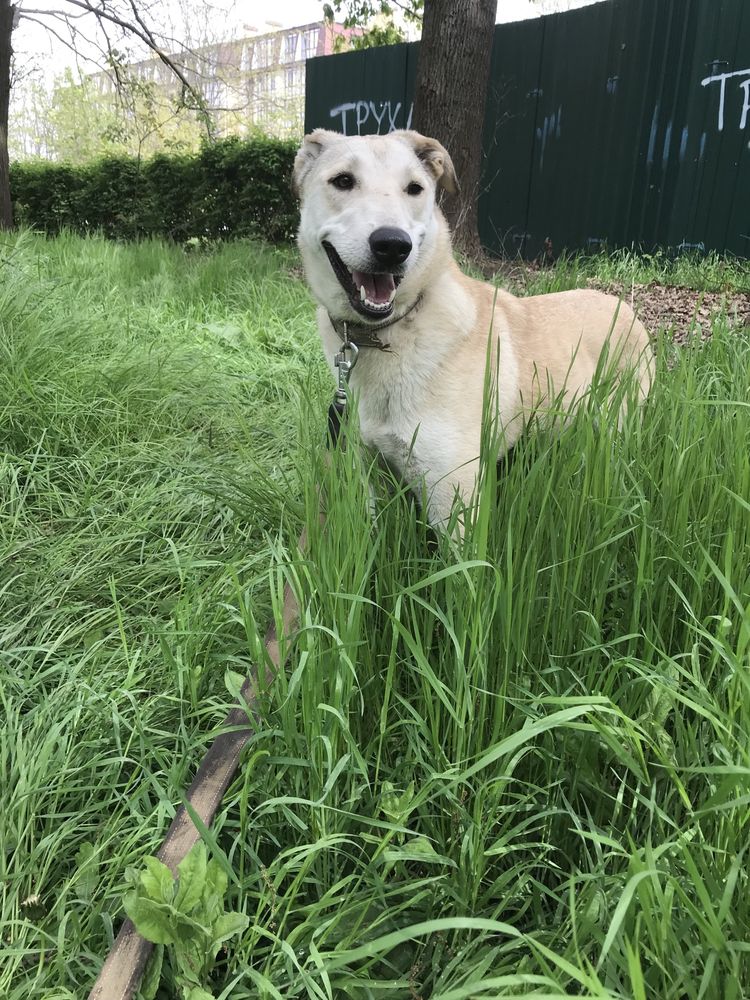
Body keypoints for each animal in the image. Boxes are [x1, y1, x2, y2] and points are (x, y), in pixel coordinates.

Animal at [294, 129, 652, 528]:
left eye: (414, 189)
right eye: (343, 181)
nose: (393, 245)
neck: (394, 329)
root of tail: (623, 305)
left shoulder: (455, 499)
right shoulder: (369, 474)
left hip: (618, 425)